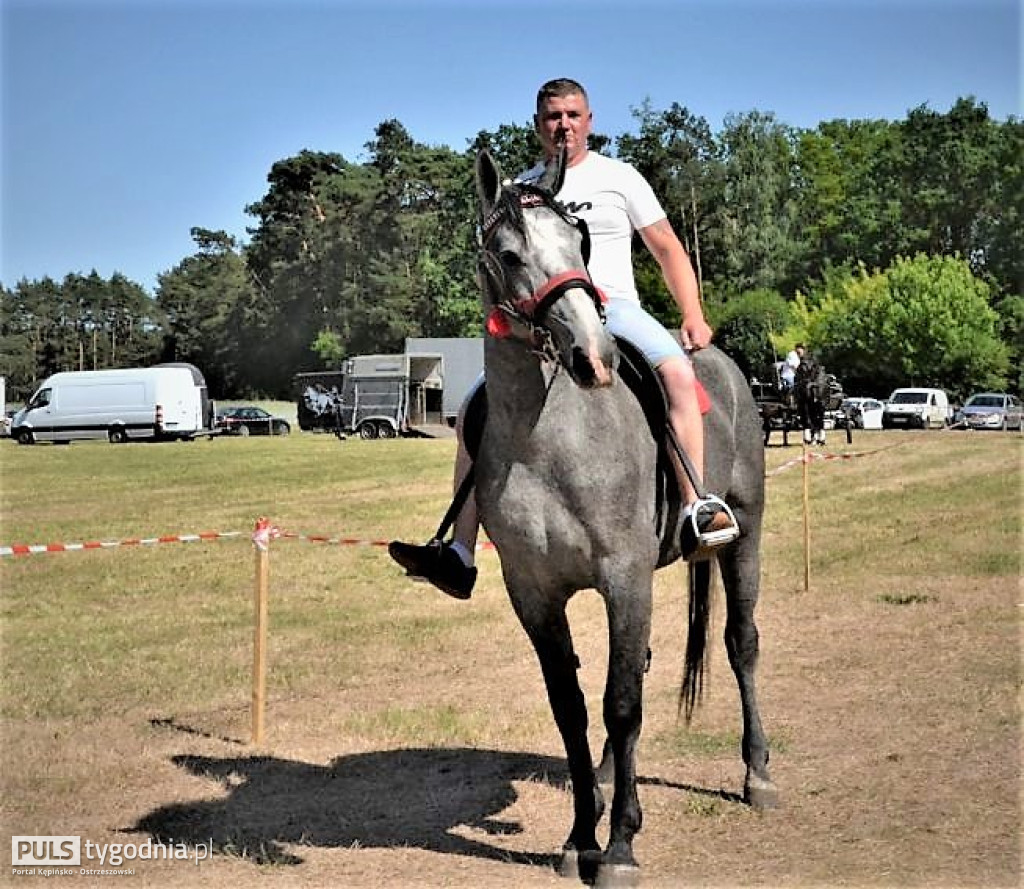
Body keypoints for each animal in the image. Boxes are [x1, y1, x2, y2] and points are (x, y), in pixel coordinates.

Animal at [471, 149, 774, 884]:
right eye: (509, 253)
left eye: (579, 240)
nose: (594, 356)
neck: (547, 442)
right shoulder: (534, 592)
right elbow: (574, 709)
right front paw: (583, 832)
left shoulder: (625, 578)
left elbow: (623, 704)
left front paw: (620, 845)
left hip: (744, 535)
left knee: (741, 643)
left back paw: (756, 772)